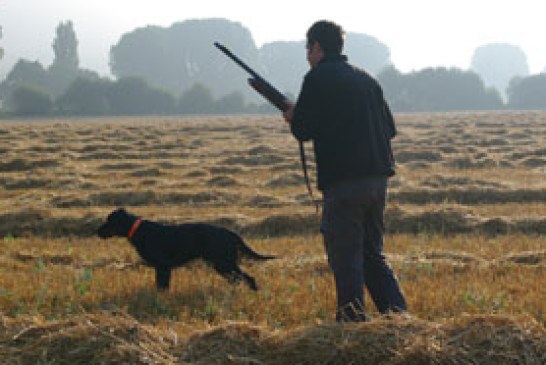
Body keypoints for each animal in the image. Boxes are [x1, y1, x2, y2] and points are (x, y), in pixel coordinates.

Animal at [96, 208, 274, 290]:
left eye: (109, 221)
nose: (97, 231)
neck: (140, 230)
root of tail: (230, 233)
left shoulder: (163, 266)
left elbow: (162, 286)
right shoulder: (162, 268)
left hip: (223, 263)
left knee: (248, 278)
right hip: (223, 265)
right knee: (237, 280)